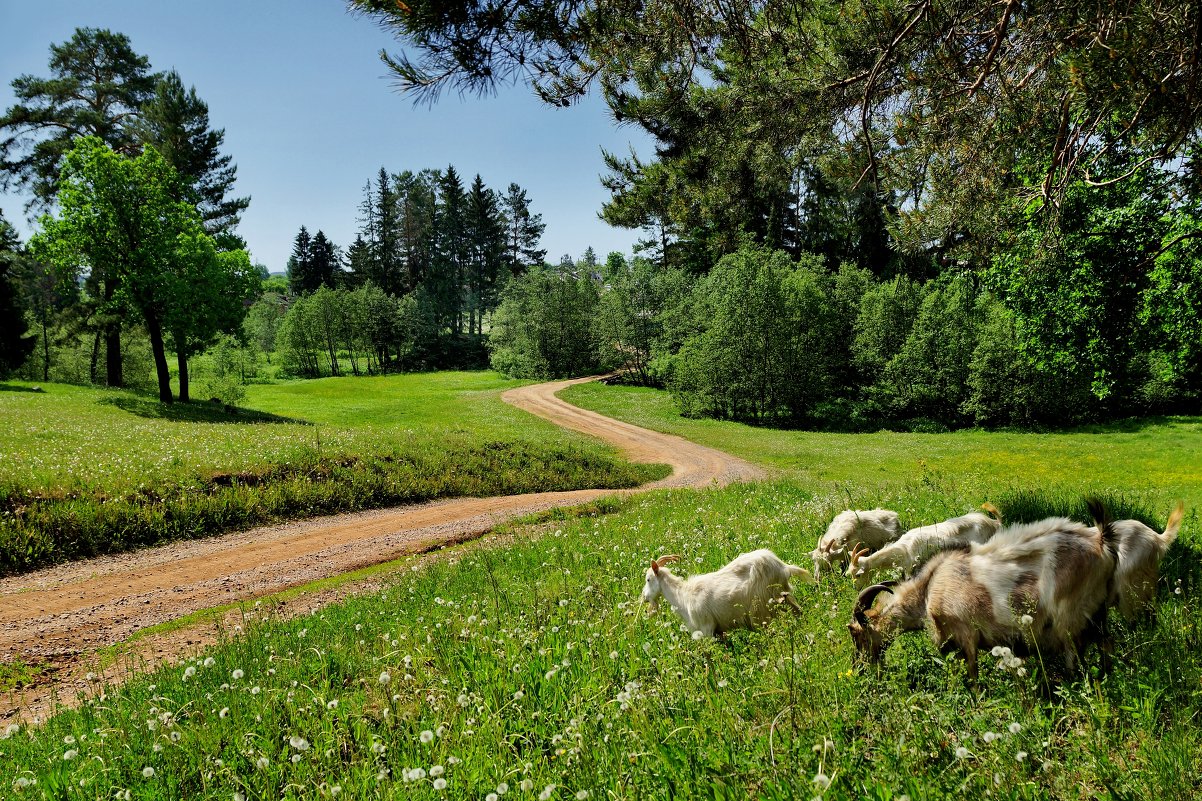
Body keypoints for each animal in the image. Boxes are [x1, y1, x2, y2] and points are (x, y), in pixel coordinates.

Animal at [639, 548, 817, 635]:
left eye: (648, 579)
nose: (645, 598)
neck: (683, 596)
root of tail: (783, 567)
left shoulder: (707, 628)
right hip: (783, 596)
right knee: (798, 611)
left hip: (761, 608)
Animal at [846, 502, 1004, 589]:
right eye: (849, 573)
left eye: (858, 574)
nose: (856, 588)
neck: (903, 550)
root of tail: (993, 523)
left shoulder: (913, 568)